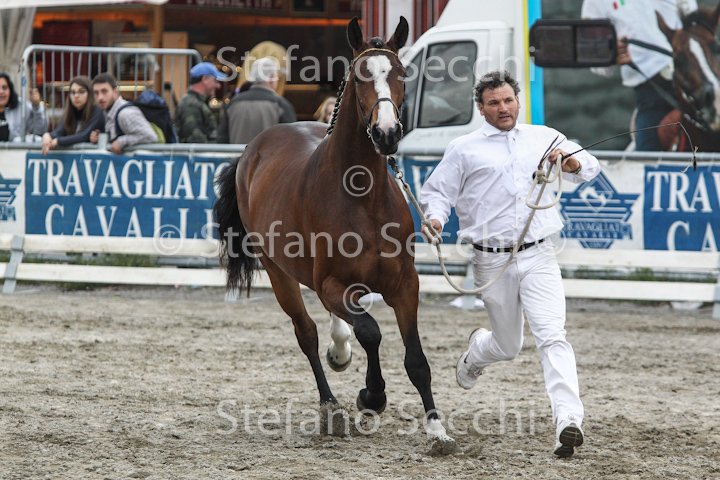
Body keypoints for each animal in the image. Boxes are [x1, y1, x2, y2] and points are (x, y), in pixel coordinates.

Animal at [213, 17, 456, 453]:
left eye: (402, 73)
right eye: (361, 75)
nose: (387, 133)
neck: (362, 194)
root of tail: (254, 148)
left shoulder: (404, 285)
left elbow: (416, 360)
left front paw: (436, 429)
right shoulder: (331, 284)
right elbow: (371, 332)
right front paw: (371, 396)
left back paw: (339, 352)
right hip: (279, 273)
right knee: (306, 333)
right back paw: (331, 407)